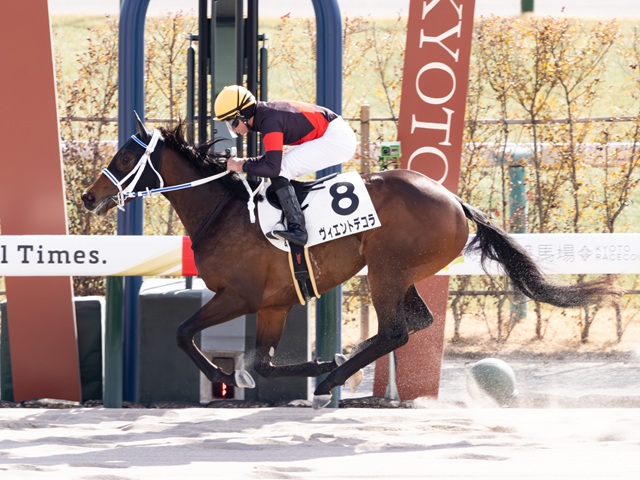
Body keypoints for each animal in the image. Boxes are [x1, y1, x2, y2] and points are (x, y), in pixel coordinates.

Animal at [81, 117, 618, 408]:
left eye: (125, 155)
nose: (88, 196)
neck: (225, 210)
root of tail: (455, 200)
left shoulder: (241, 295)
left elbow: (184, 333)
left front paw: (226, 376)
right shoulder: (274, 304)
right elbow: (263, 362)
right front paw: (306, 363)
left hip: (386, 269)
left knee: (397, 330)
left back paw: (336, 379)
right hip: (402, 273)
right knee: (416, 322)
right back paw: (343, 372)